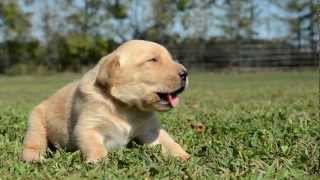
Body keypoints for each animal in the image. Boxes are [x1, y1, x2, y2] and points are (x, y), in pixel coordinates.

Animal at [21, 39, 190, 163]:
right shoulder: (88, 126)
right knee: (33, 143)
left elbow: (168, 141)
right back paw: (34, 159)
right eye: (153, 60)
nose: (185, 73)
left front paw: (184, 156)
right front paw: (100, 162)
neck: (126, 107)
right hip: (36, 124)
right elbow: (94, 145)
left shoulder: (151, 130)